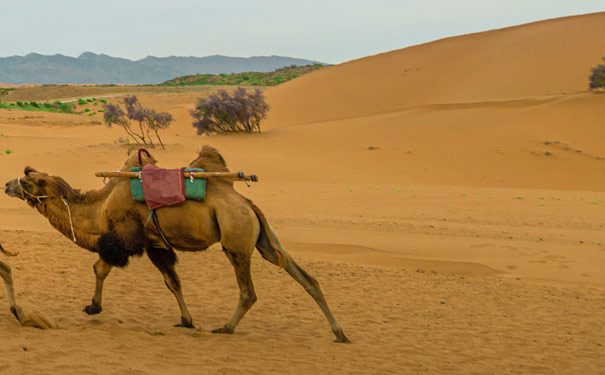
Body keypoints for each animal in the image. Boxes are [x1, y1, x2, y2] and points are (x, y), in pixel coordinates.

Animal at [3, 148, 350, 344]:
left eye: (29, 182)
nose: (7, 184)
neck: (99, 208)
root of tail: (248, 204)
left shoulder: (127, 235)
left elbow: (100, 266)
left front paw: (93, 307)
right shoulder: (155, 244)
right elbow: (173, 282)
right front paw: (186, 320)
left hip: (235, 239)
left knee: (249, 291)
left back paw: (226, 328)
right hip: (262, 237)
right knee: (305, 276)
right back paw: (339, 333)